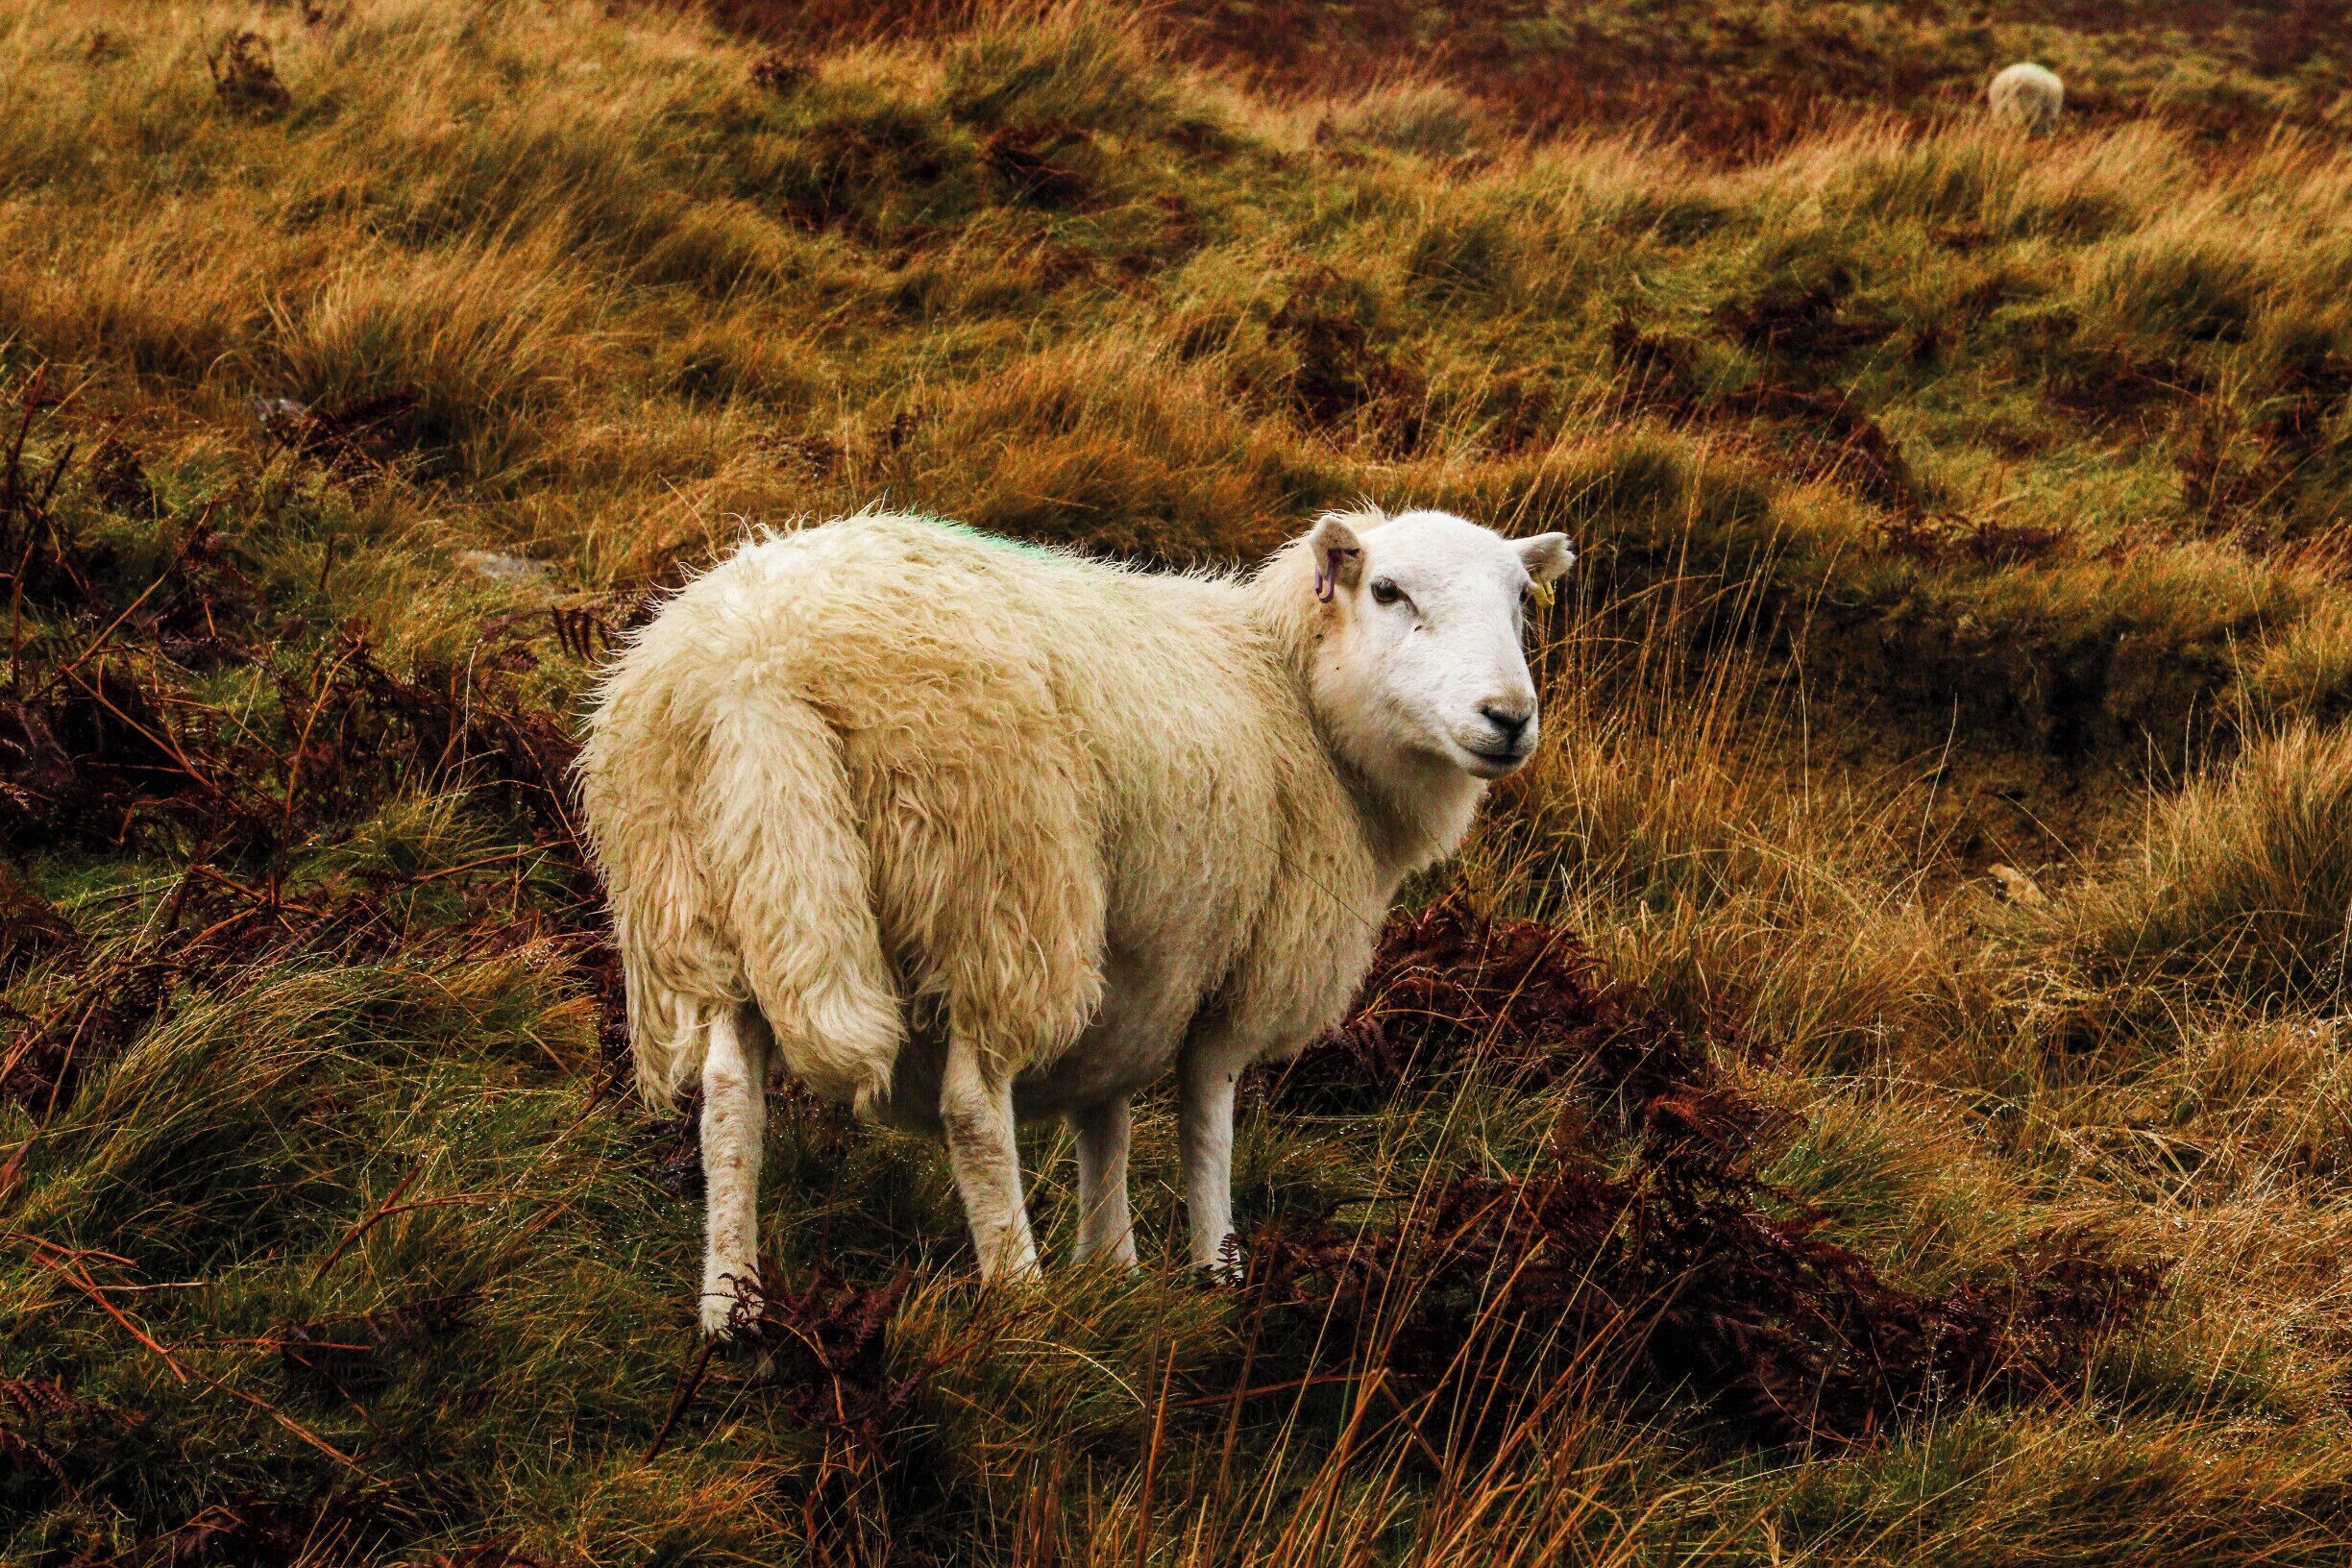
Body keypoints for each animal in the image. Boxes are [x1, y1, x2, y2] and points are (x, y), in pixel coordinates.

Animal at [579, 506, 1574, 1333]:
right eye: (1388, 590)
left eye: (1522, 602)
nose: (1508, 717)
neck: (1293, 693)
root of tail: (761, 675)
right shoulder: (1238, 966)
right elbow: (1206, 1120)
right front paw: (1217, 1275)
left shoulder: (1146, 967)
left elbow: (1108, 1121)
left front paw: (1114, 1267)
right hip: (996, 890)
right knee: (974, 1107)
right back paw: (1021, 1297)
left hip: (715, 900)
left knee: (729, 1101)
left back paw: (730, 1310)